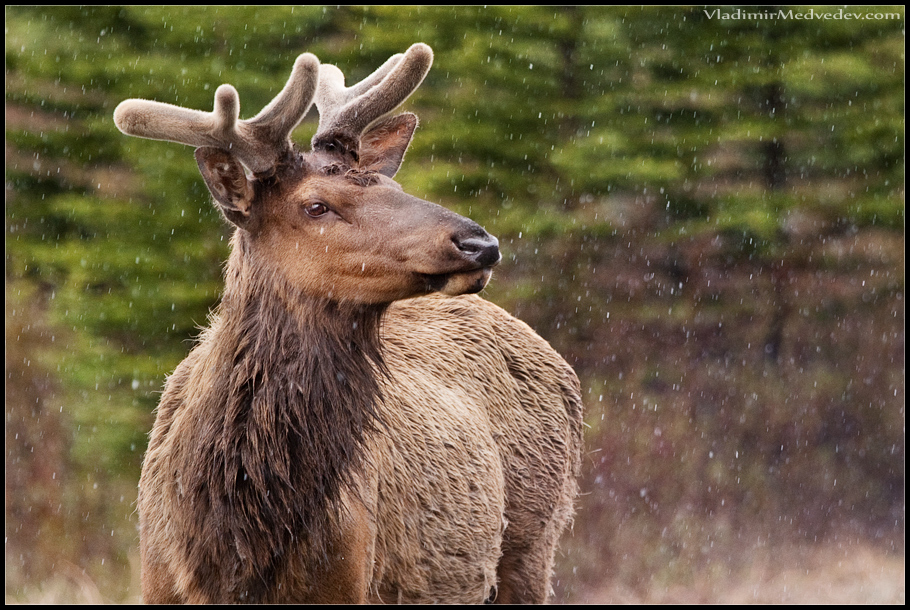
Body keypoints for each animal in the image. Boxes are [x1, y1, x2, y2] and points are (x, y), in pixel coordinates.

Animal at [114, 44, 584, 604]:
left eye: (390, 183)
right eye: (316, 205)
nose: (479, 243)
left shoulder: (347, 581)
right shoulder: (155, 582)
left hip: (536, 544)